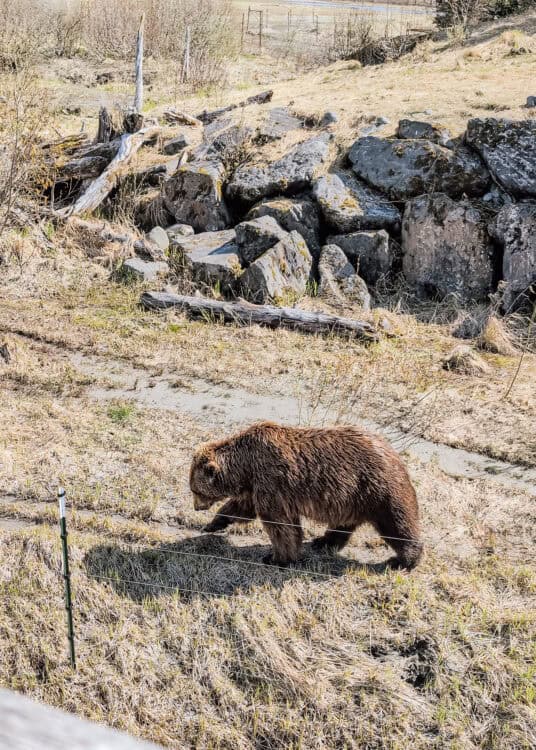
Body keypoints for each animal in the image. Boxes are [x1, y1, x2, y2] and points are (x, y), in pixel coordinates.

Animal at [189, 421, 423, 569]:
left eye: (195, 490)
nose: (196, 507)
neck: (246, 465)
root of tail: (396, 456)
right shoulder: (255, 486)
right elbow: (241, 508)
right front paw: (213, 524)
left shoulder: (272, 482)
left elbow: (280, 524)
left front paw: (277, 558)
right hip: (353, 498)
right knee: (344, 523)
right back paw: (323, 541)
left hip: (379, 490)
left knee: (396, 525)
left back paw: (402, 561)